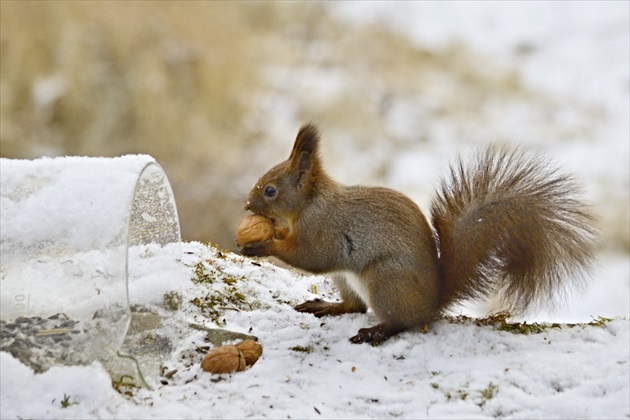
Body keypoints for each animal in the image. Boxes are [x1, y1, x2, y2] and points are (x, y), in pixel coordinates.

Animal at [241, 122, 596, 344]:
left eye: (270, 191)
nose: (247, 204)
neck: (310, 203)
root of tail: (432, 302)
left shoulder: (324, 230)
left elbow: (310, 256)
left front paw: (264, 244)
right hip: (347, 279)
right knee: (355, 307)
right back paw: (328, 306)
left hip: (385, 280)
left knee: (401, 321)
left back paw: (375, 333)